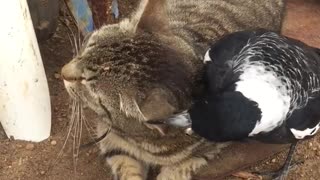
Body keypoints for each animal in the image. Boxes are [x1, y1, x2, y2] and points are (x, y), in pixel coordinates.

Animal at [60, 0, 284, 179]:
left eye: (92, 92)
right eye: (89, 44)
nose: (62, 72)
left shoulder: (208, 149)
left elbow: (179, 168)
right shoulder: (113, 142)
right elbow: (126, 168)